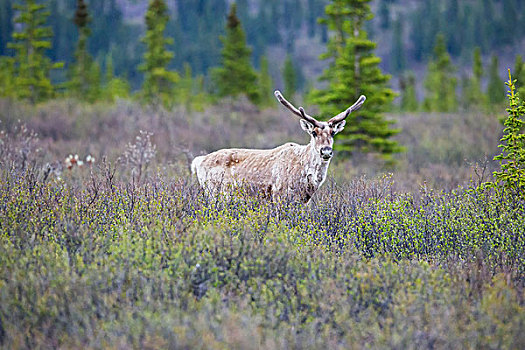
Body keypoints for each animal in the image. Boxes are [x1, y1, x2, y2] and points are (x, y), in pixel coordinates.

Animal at [190, 91, 366, 204]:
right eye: (314, 132)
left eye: (333, 133)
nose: (326, 151)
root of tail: (198, 161)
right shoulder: (279, 193)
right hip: (214, 191)